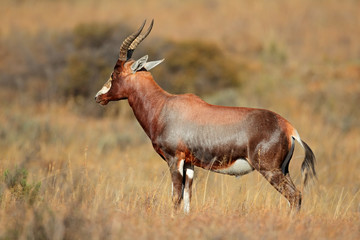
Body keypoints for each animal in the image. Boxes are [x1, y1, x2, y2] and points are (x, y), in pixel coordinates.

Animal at [95, 19, 316, 213]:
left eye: (115, 74)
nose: (98, 97)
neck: (164, 105)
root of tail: (289, 128)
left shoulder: (174, 159)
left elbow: (176, 197)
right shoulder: (190, 163)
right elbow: (187, 199)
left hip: (270, 170)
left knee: (294, 196)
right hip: (282, 170)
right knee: (295, 197)